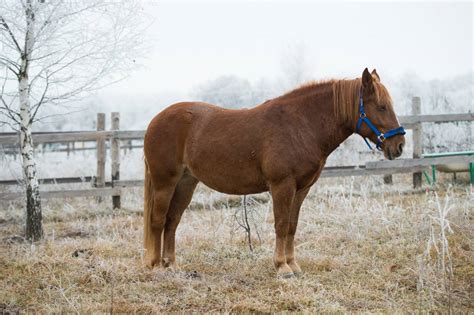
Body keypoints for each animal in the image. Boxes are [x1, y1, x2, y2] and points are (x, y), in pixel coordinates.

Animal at [143, 68, 406, 278]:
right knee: (158, 220)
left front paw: (293, 265)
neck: (300, 125)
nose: (399, 145)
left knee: (172, 221)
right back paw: (155, 266)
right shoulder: (282, 186)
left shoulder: (301, 190)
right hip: (165, 182)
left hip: (186, 183)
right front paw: (282, 267)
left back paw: (171, 265)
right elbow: (280, 224)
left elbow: (291, 225)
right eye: (381, 106)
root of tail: (155, 121)